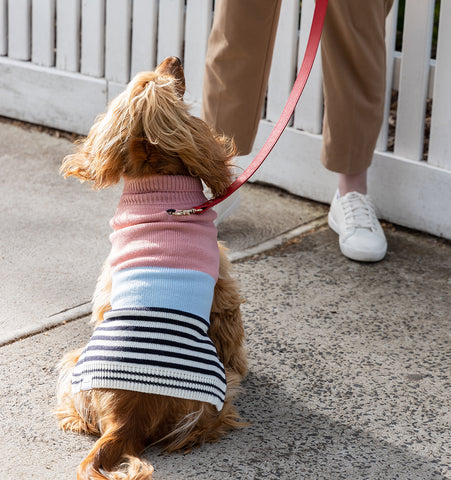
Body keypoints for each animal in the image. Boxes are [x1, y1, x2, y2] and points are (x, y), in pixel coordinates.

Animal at [54, 57, 249, 480]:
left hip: (76, 363)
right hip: (215, 393)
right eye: (170, 83)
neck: (156, 181)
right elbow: (232, 332)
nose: (173, 58)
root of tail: (126, 420)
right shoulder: (223, 286)